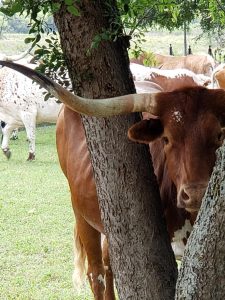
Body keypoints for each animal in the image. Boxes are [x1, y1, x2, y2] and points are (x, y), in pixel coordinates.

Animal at [0, 61, 225, 300]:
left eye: (219, 135)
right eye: (166, 139)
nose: (196, 194)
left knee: (109, 264)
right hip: (81, 213)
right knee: (96, 272)